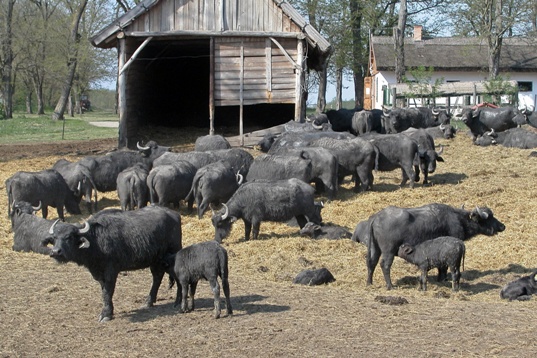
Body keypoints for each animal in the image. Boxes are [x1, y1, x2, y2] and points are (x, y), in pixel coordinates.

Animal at [362, 203, 504, 290]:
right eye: (489, 217)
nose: (502, 226)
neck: (458, 220)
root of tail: (376, 218)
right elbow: (443, 267)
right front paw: (442, 278)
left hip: (374, 248)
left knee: (371, 263)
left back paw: (369, 282)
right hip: (389, 251)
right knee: (385, 265)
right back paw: (390, 285)